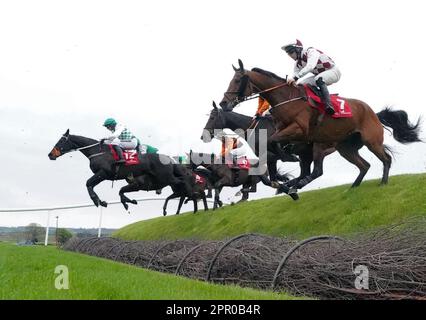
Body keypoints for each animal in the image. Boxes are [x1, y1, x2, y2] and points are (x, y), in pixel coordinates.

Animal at [47, 129, 192, 211]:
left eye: (61, 141)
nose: (50, 154)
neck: (97, 151)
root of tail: (169, 159)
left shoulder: (103, 173)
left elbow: (88, 183)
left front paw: (97, 201)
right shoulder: (104, 176)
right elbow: (92, 185)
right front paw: (103, 201)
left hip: (165, 177)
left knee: (182, 181)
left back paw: (189, 195)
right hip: (161, 180)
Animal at [220, 59, 422, 190]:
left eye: (237, 80)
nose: (224, 103)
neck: (286, 98)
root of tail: (373, 113)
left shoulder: (299, 129)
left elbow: (274, 142)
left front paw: (286, 161)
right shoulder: (285, 131)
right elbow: (274, 143)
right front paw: (284, 167)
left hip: (369, 141)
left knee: (385, 159)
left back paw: (383, 182)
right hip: (345, 147)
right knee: (364, 165)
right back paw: (353, 186)